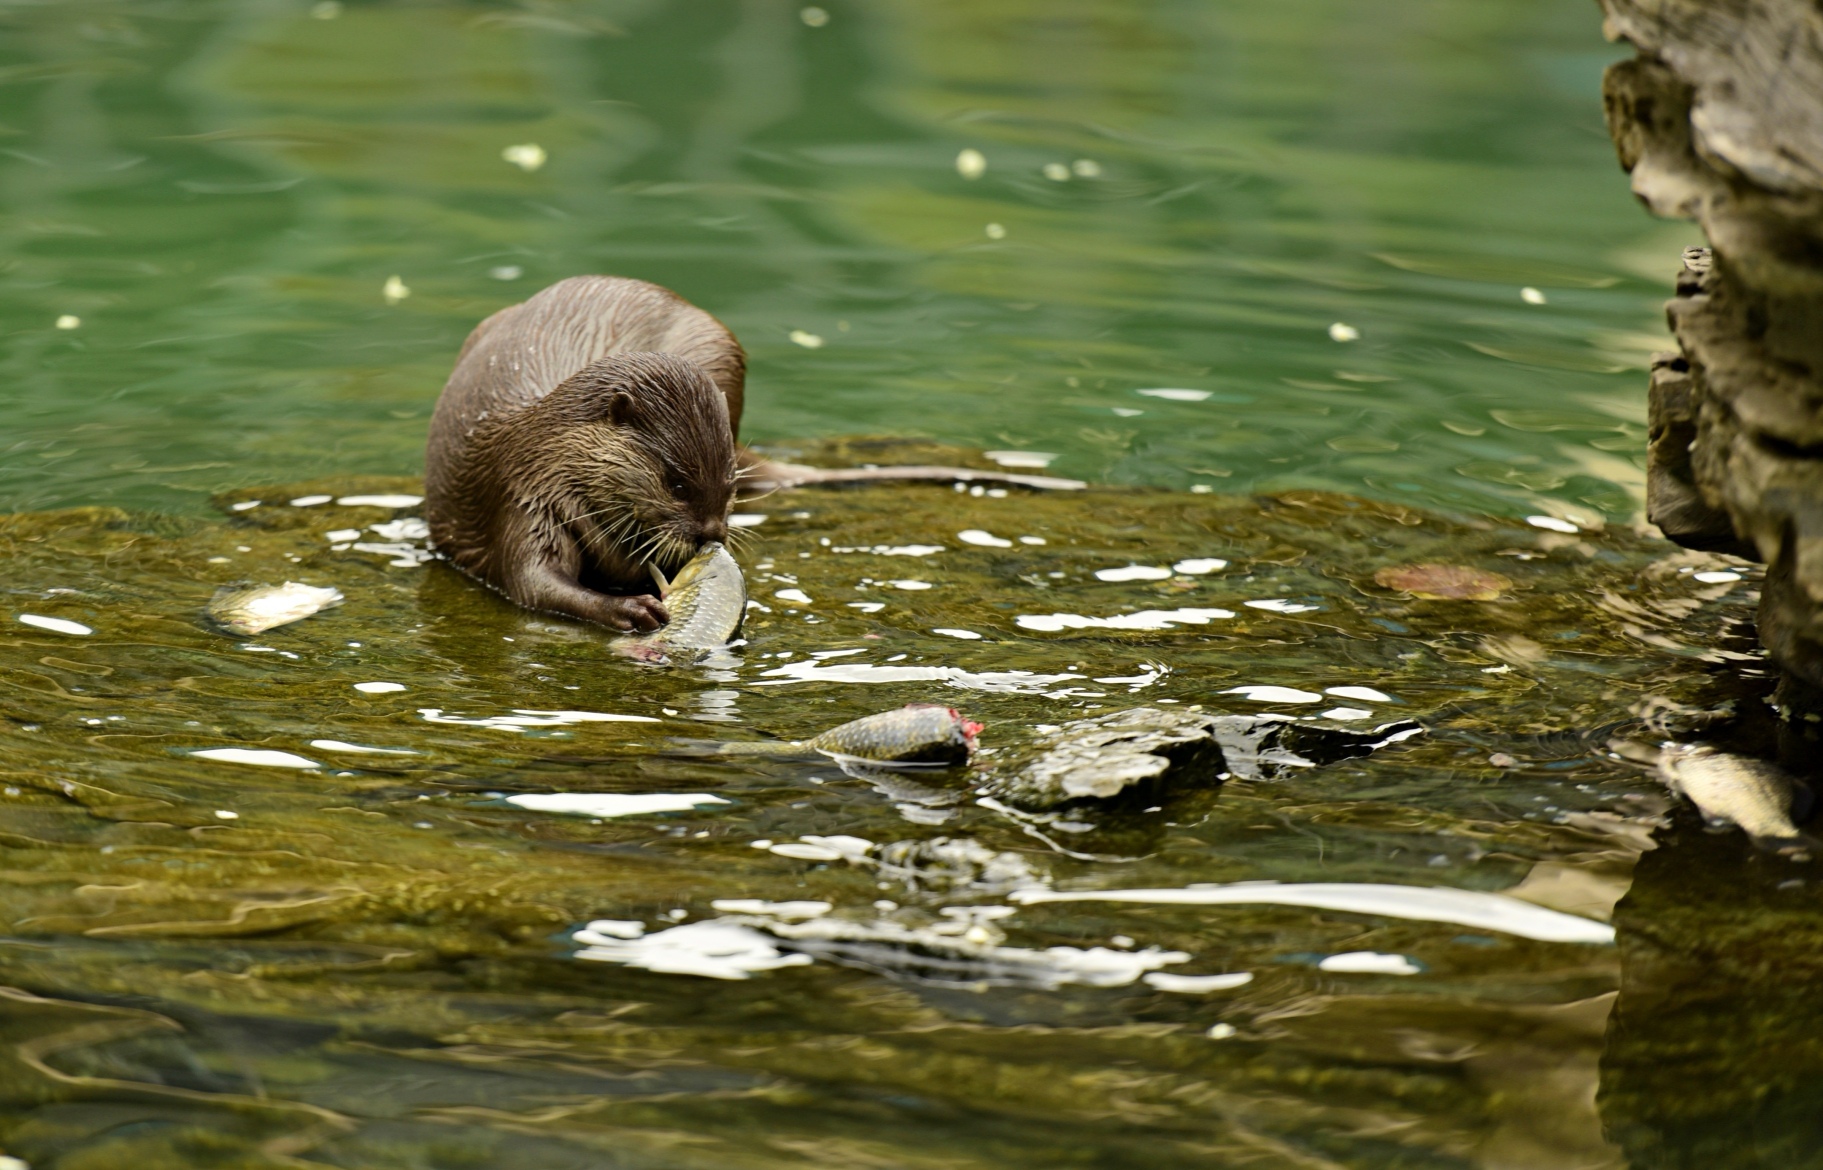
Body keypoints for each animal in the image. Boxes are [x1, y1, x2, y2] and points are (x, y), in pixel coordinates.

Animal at [424, 271, 1079, 626]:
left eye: (731, 483)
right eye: (675, 481)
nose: (712, 535)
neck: (544, 447)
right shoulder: (523, 496)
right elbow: (534, 583)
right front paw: (632, 609)